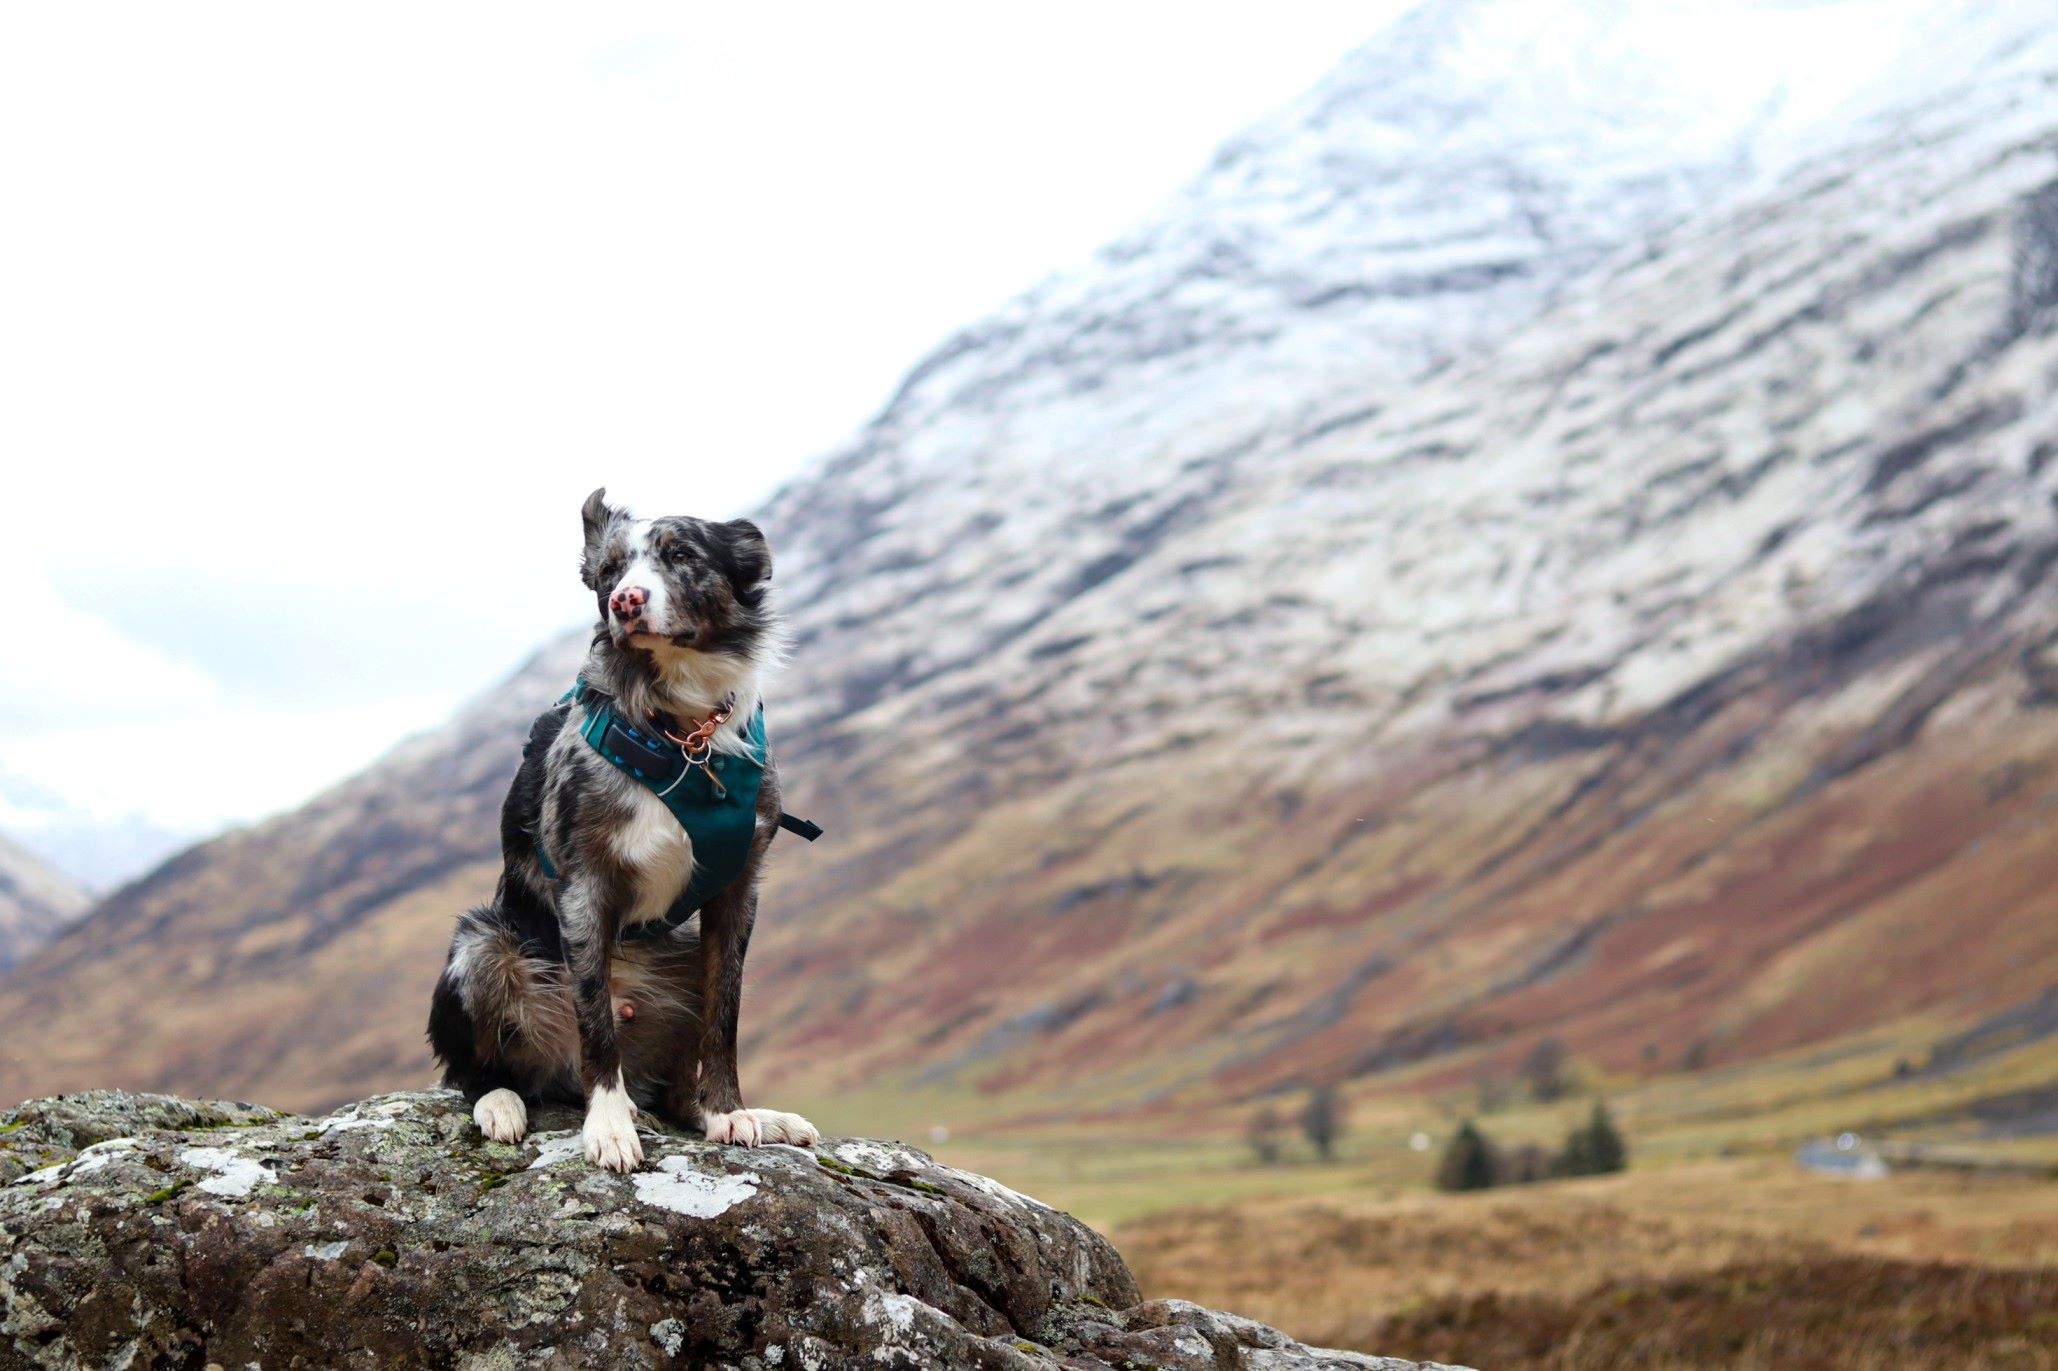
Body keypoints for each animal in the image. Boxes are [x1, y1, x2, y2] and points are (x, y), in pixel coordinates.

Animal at [430, 485, 814, 1169]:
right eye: (609, 570)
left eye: (681, 554)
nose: (625, 601)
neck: (683, 734)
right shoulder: (585, 889)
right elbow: (597, 1025)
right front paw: (608, 1125)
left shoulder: (736, 893)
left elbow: (724, 1017)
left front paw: (731, 1112)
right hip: (481, 944)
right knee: (477, 1071)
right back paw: (503, 1103)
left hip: (681, 954)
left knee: (675, 1089)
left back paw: (736, 1115)